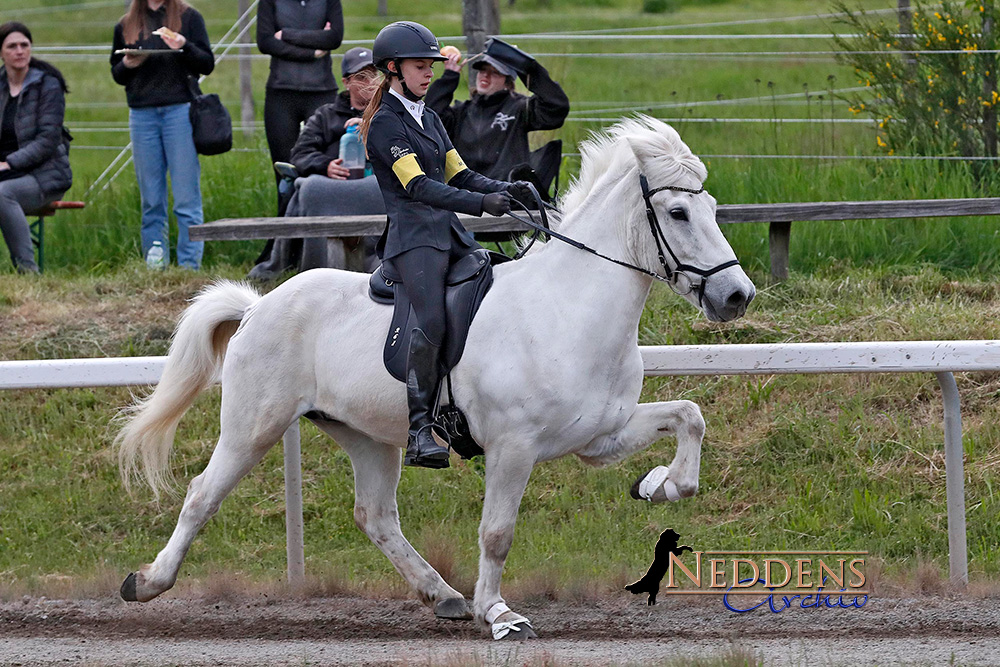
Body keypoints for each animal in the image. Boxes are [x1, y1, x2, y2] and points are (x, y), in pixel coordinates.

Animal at [115, 117, 752, 640]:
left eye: (713, 207)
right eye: (678, 213)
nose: (736, 296)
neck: (568, 307)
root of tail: (256, 307)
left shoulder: (600, 436)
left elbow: (690, 416)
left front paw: (659, 485)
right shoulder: (514, 447)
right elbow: (497, 532)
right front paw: (498, 614)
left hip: (366, 435)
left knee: (374, 516)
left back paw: (441, 595)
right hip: (254, 426)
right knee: (202, 495)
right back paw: (145, 583)